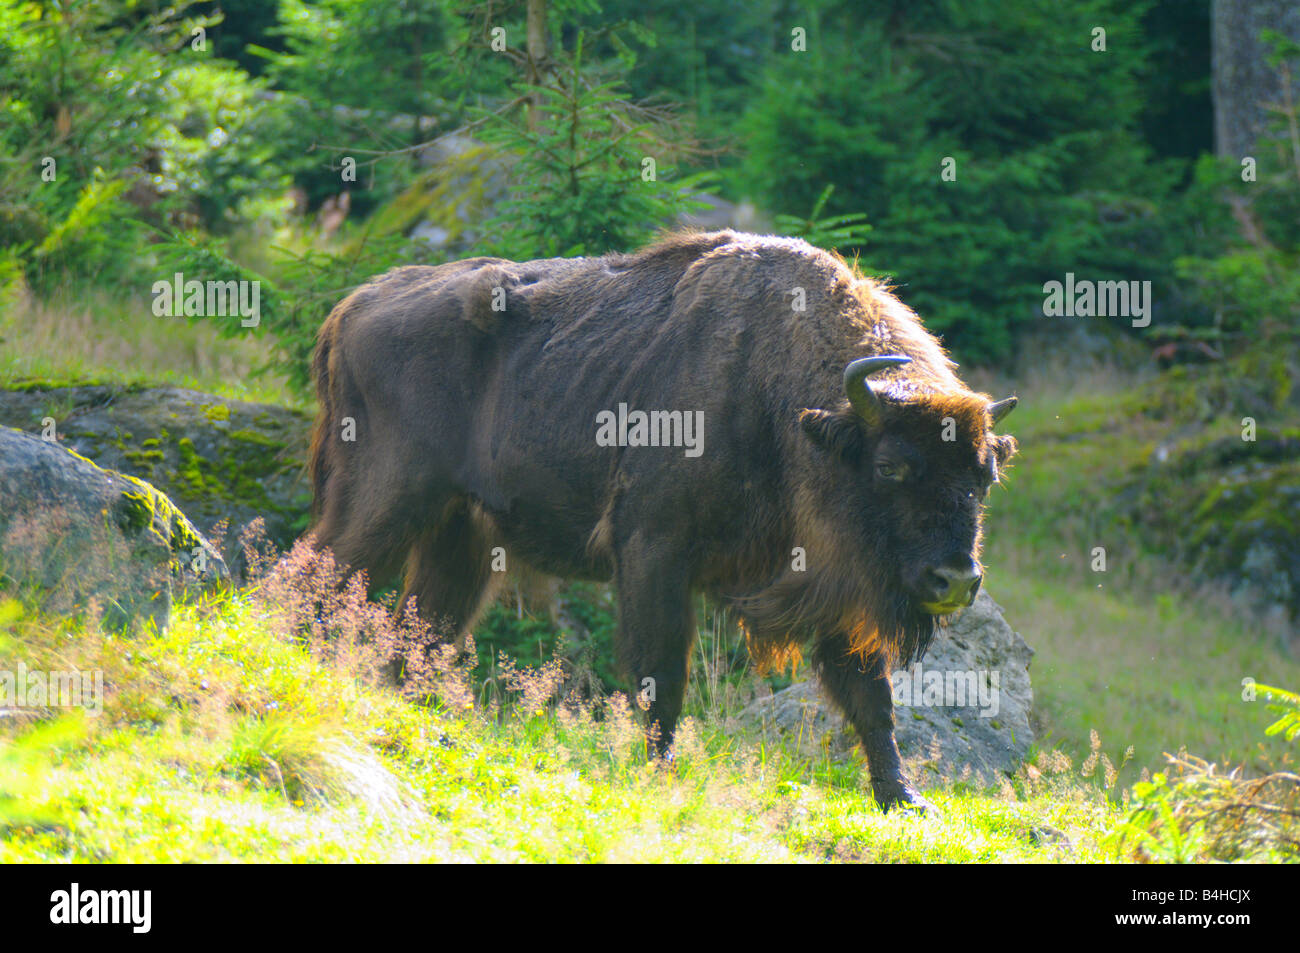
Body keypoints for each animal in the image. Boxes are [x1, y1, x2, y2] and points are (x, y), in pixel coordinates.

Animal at [312, 230, 1013, 811]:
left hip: (460, 534)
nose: (956, 580)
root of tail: (356, 305)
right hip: (387, 499)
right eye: (891, 466)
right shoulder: (654, 553)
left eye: (985, 476)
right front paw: (661, 772)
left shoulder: (836, 585)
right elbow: (662, 676)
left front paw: (905, 800)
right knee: (324, 572)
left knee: (420, 628)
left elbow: (872, 699)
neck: (790, 408)